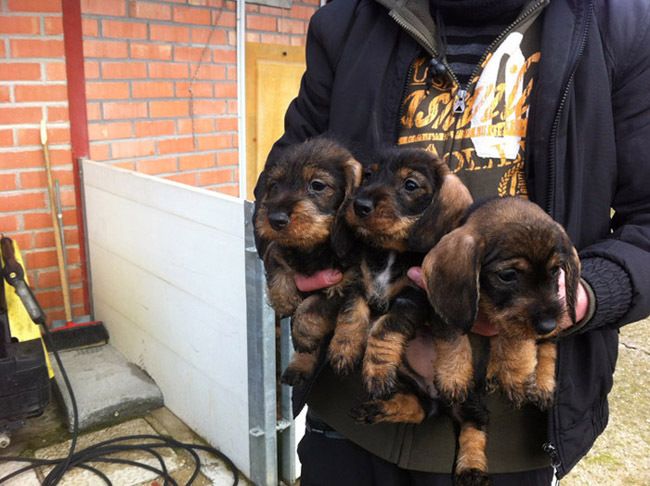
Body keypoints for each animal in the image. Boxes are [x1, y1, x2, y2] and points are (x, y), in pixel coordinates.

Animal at [254, 137, 363, 386]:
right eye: (274, 185)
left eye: (318, 185)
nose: (275, 219)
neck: (314, 248)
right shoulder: (278, 250)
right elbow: (276, 263)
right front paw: (284, 301)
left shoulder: (345, 284)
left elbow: (309, 308)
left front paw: (303, 335)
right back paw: (298, 367)